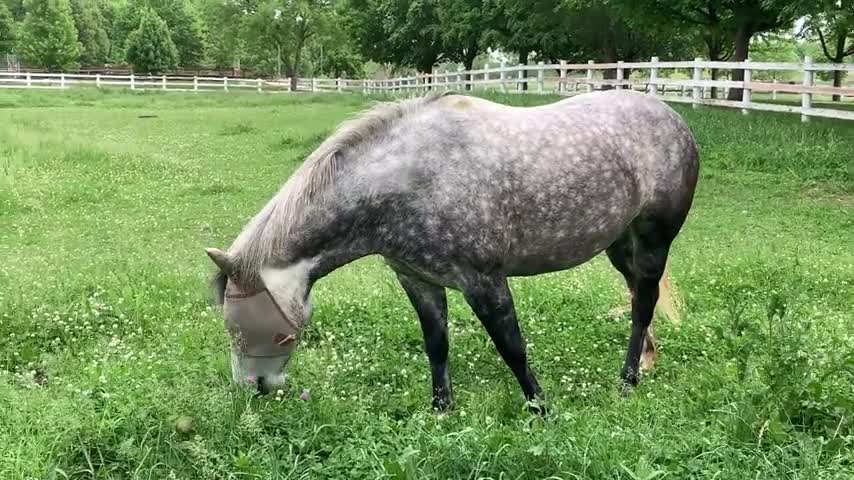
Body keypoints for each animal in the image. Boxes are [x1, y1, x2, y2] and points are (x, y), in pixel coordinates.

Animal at [207, 91, 704, 412]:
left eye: (276, 335)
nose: (257, 389)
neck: (409, 181)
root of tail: (671, 116)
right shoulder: (418, 280)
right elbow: (437, 344)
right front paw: (441, 410)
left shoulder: (484, 281)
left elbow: (512, 347)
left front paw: (541, 409)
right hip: (619, 244)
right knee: (639, 295)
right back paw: (646, 361)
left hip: (655, 240)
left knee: (643, 303)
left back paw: (628, 380)